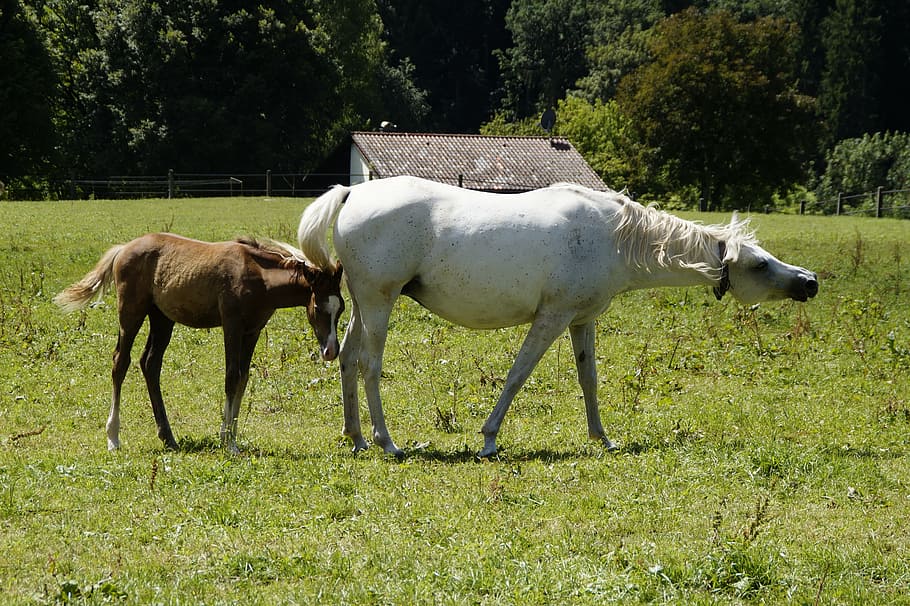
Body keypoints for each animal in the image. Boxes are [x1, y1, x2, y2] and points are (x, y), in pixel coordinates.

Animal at [54, 233, 344, 453]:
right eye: (318, 308)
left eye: (341, 308)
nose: (331, 351)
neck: (258, 276)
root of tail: (123, 248)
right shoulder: (232, 325)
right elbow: (231, 376)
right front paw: (228, 442)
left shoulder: (253, 330)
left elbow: (243, 378)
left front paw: (233, 436)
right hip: (131, 313)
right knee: (120, 363)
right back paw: (113, 438)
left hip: (162, 319)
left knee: (150, 363)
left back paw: (168, 438)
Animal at [297, 176, 818, 458]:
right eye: (759, 265)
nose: (809, 281)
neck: (613, 236)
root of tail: (351, 193)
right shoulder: (552, 318)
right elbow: (517, 376)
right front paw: (489, 439)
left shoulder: (582, 321)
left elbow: (589, 380)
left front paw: (602, 438)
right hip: (380, 303)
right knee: (370, 367)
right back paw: (386, 442)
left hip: (363, 306)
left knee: (347, 360)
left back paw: (356, 437)